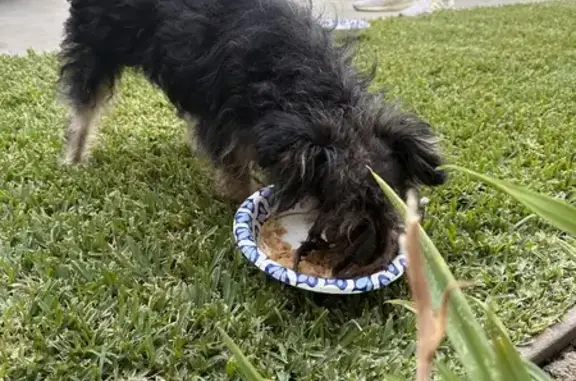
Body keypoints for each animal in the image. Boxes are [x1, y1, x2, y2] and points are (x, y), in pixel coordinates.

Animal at [58, 0, 446, 276]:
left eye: (398, 211)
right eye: (349, 226)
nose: (374, 263)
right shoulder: (223, 117)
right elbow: (232, 164)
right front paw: (241, 195)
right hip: (96, 40)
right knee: (84, 102)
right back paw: (74, 157)